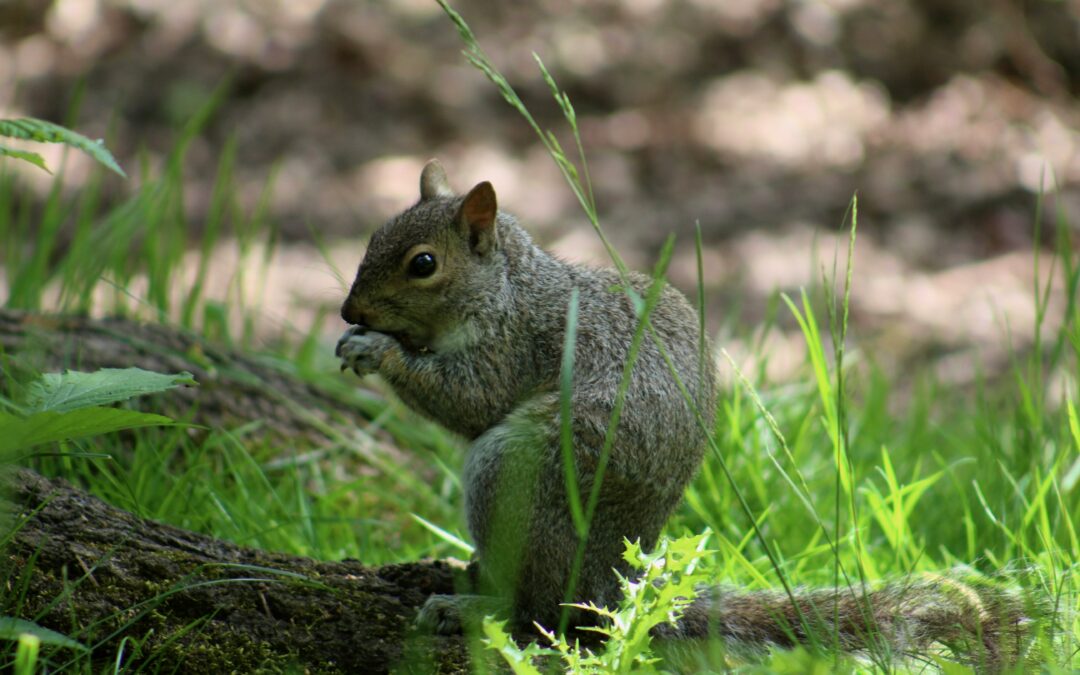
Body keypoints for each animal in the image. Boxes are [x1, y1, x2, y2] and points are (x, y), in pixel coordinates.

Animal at [336, 160, 1031, 667]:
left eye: (424, 264)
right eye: (370, 238)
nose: (348, 311)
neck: (509, 289)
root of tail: (611, 593)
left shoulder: (521, 344)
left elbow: (469, 398)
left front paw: (376, 351)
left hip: (519, 474)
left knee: (536, 613)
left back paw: (473, 607)